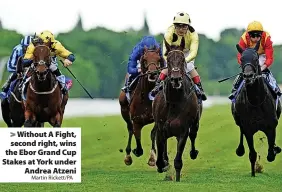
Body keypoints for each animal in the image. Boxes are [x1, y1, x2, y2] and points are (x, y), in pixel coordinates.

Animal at [152, 37, 203, 182]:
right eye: (168, 60)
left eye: (182, 59)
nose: (175, 79)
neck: (174, 102)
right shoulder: (161, 129)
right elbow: (160, 157)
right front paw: (163, 165)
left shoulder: (183, 131)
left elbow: (178, 160)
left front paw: (177, 177)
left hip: (195, 123)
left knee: (193, 135)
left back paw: (193, 152)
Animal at [232, 41, 280, 177]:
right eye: (242, 59)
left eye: (255, 58)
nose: (248, 76)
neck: (256, 101)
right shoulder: (248, 128)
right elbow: (252, 154)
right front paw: (253, 173)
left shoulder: (271, 126)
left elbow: (270, 154)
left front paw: (274, 150)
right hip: (238, 121)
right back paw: (240, 149)